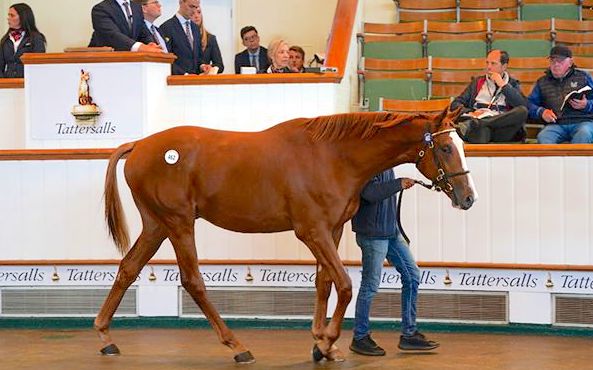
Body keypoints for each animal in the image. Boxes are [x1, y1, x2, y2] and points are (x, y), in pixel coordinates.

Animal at [97, 108, 476, 362]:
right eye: (446, 148)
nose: (468, 198)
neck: (332, 156)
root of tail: (139, 145)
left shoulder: (332, 229)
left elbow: (324, 283)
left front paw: (322, 342)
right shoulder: (312, 231)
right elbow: (344, 285)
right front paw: (327, 341)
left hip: (156, 225)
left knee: (128, 268)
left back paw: (104, 336)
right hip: (178, 223)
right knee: (192, 281)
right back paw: (238, 346)